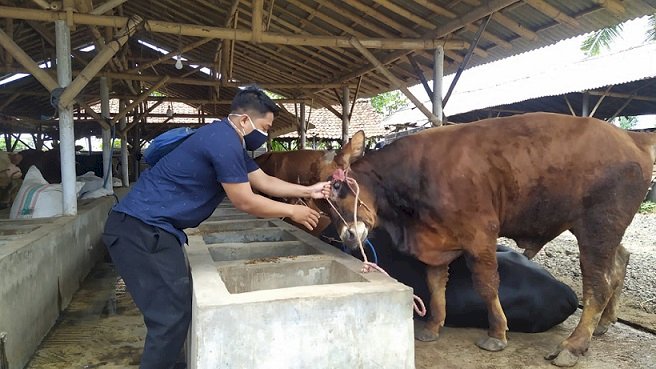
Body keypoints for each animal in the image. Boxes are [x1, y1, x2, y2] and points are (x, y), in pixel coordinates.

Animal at [322, 112, 652, 366]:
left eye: (339, 188)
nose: (348, 235)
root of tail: (632, 137)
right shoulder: (437, 241)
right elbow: (435, 284)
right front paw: (432, 326)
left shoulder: (480, 234)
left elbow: (487, 285)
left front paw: (497, 334)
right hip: (599, 231)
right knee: (620, 263)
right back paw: (604, 324)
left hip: (598, 229)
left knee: (598, 285)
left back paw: (573, 346)